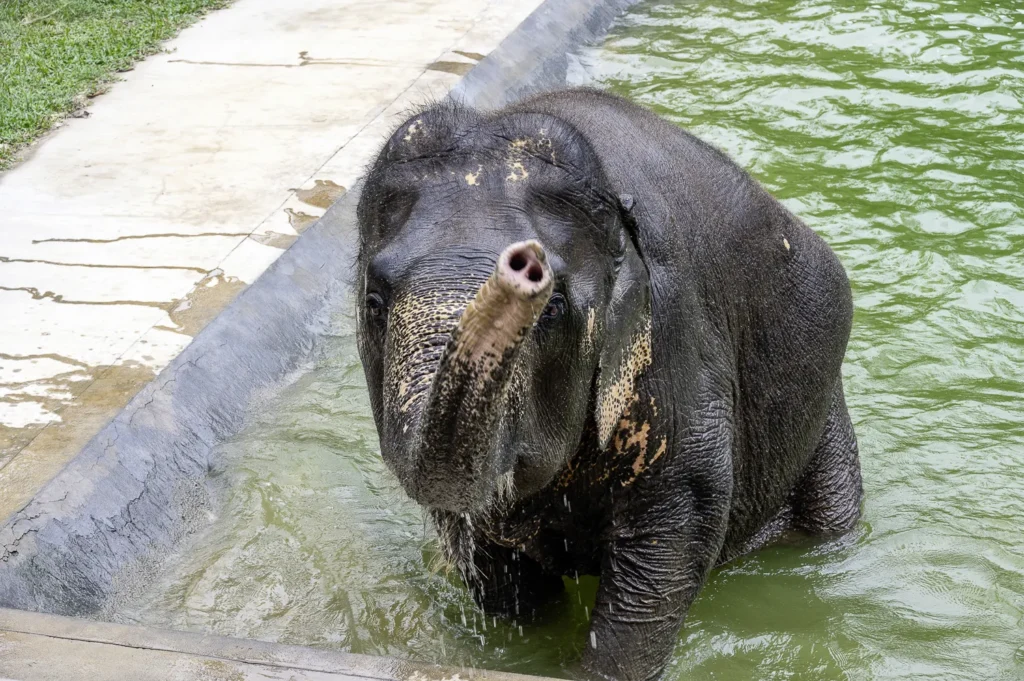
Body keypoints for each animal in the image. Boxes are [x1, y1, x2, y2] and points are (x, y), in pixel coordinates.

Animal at [354, 88, 862, 681]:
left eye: (551, 309)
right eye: (374, 302)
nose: (522, 263)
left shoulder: (675, 343)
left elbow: (675, 532)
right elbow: (490, 557)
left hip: (824, 409)